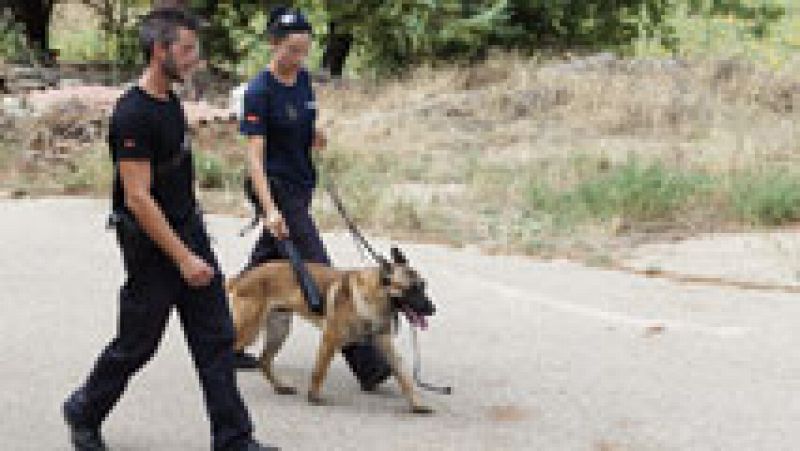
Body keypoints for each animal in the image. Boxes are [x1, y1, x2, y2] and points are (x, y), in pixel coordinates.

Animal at [225, 249, 438, 414]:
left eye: (423, 286)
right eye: (412, 289)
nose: (433, 309)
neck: (375, 294)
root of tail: (242, 277)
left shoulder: (386, 345)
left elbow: (404, 377)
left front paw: (417, 404)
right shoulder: (329, 339)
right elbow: (320, 371)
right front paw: (313, 396)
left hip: (279, 330)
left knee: (264, 361)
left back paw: (281, 386)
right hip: (249, 331)